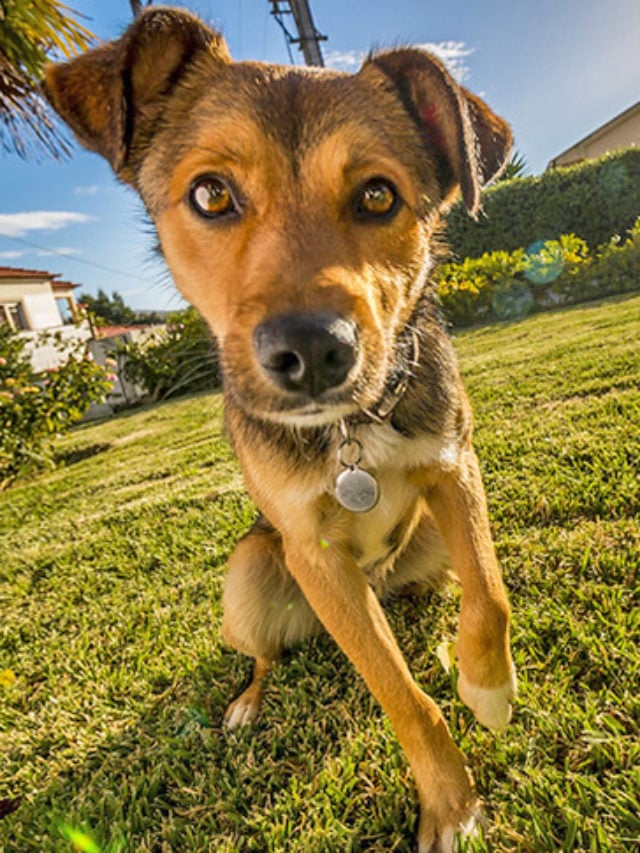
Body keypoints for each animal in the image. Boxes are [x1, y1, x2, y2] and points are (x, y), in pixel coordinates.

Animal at [47, 6, 520, 844]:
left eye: (378, 196)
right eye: (210, 194)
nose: (312, 351)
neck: (352, 429)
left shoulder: (454, 468)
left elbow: (489, 592)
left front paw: (486, 687)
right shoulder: (317, 553)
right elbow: (401, 695)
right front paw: (452, 803)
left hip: (424, 543)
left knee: (439, 584)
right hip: (253, 568)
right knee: (265, 653)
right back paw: (247, 702)